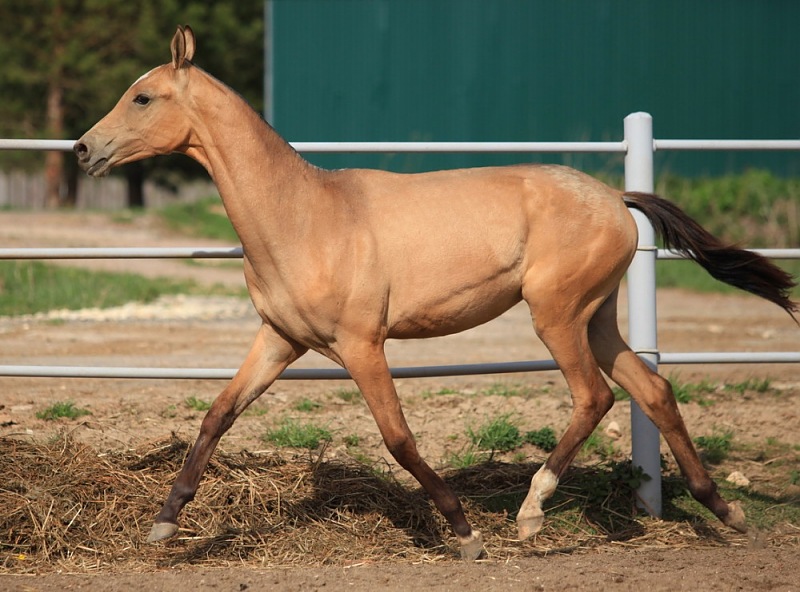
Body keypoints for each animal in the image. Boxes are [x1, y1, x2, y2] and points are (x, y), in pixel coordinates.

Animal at [74, 26, 797, 560]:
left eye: (143, 98)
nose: (84, 150)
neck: (303, 216)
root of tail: (618, 199)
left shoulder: (361, 344)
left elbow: (398, 439)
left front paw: (464, 532)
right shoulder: (280, 340)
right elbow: (217, 415)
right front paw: (165, 524)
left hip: (557, 315)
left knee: (595, 397)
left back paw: (530, 515)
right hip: (596, 318)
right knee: (654, 391)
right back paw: (725, 511)